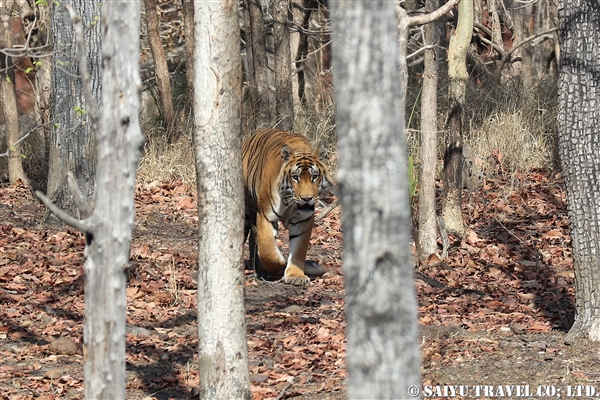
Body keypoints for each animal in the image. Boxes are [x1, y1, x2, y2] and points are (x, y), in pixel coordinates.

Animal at [243, 128, 336, 284]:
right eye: (295, 177)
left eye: (314, 177)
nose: (307, 198)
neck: (289, 202)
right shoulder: (265, 215)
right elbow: (268, 250)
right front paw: (280, 263)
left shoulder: (304, 220)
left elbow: (299, 249)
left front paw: (295, 275)